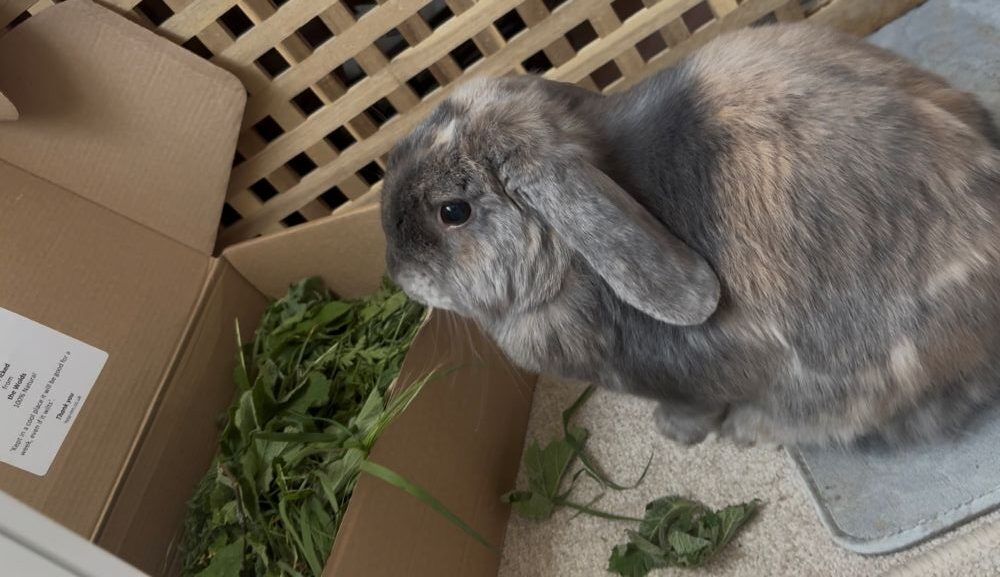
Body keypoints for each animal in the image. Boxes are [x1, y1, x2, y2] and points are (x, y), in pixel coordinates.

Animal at [379, 21, 1000, 448]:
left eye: (453, 211)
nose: (397, 271)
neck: (571, 266)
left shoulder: (688, 379)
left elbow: (693, 407)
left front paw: (673, 433)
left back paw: (751, 427)